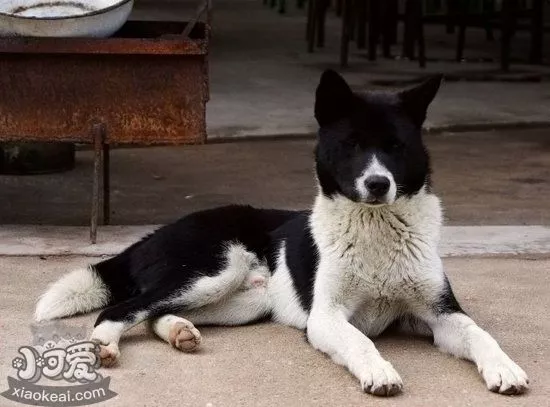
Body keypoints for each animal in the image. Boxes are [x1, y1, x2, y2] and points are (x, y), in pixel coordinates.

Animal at [34, 71, 532, 398]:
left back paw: (180, 332)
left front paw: (505, 368)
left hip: (242, 301)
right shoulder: (325, 318)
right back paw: (104, 346)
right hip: (213, 271)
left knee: (155, 313)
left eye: (396, 147)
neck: (375, 229)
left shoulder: (441, 314)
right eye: (352, 145)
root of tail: (158, 232)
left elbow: (481, 335)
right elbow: (361, 340)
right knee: (121, 309)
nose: (377, 184)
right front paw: (379, 371)